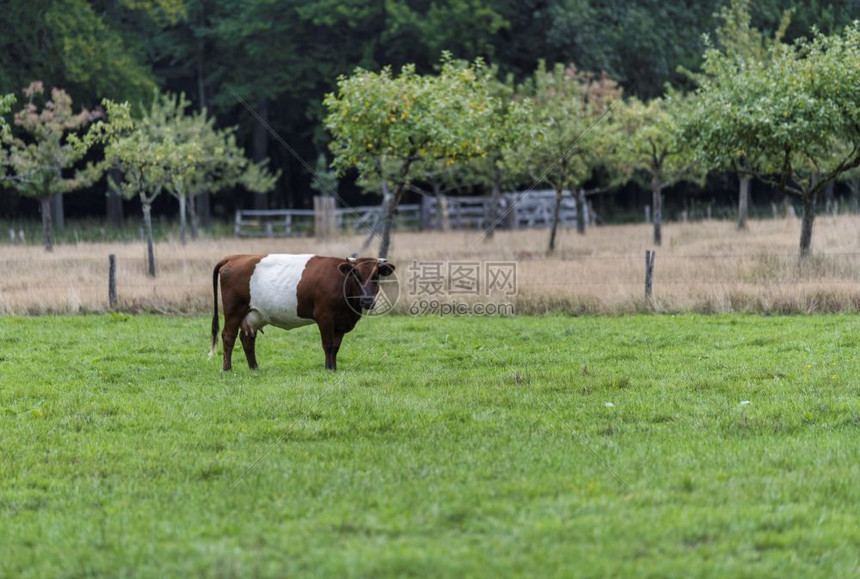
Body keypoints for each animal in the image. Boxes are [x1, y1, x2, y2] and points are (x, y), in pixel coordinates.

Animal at [212, 254, 396, 372]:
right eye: (355, 273)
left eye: (376, 275)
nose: (366, 301)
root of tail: (234, 257)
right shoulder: (325, 317)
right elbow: (328, 345)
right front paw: (329, 369)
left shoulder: (341, 323)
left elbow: (336, 347)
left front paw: (334, 367)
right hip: (234, 310)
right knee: (228, 336)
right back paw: (227, 368)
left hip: (253, 314)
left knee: (247, 339)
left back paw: (254, 368)